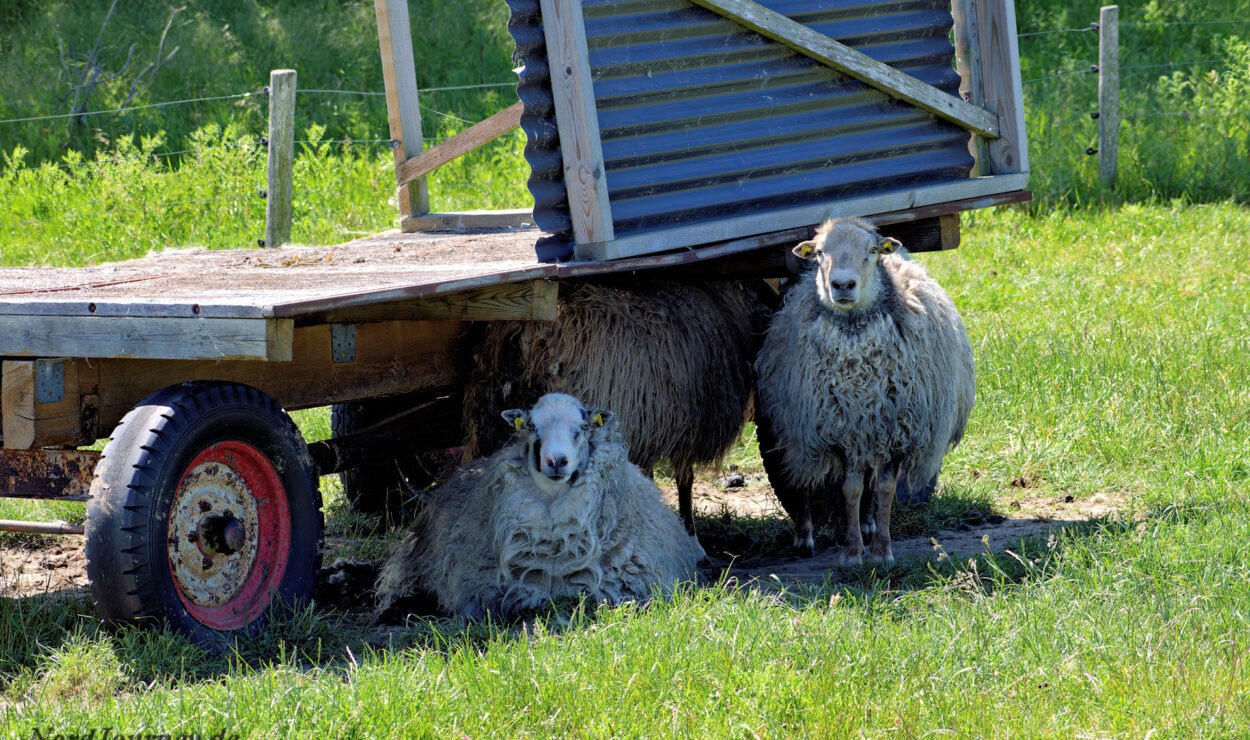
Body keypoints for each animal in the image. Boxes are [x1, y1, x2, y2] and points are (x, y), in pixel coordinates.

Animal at [750, 216, 975, 562]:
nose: (842, 285)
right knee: (800, 478)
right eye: (819, 253)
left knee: (869, 478)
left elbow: (884, 488)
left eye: (871, 250)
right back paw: (804, 537)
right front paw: (852, 552)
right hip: (795, 425)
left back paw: (868, 523)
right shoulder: (839, 429)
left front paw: (881, 548)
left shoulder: (895, 430)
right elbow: (850, 489)